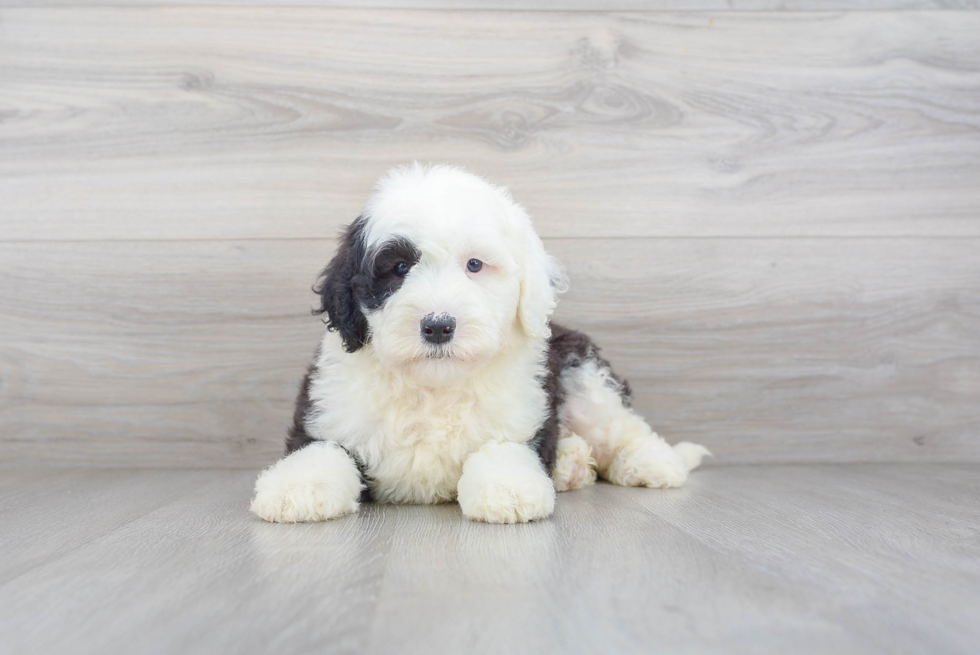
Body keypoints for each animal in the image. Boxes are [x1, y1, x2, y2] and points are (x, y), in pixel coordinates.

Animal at [251, 167, 712, 524]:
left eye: (474, 265)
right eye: (398, 268)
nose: (438, 326)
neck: (434, 388)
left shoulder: (523, 414)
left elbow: (501, 451)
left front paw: (507, 491)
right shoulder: (328, 412)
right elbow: (321, 450)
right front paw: (296, 488)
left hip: (582, 378)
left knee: (622, 427)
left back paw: (653, 463)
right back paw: (572, 465)